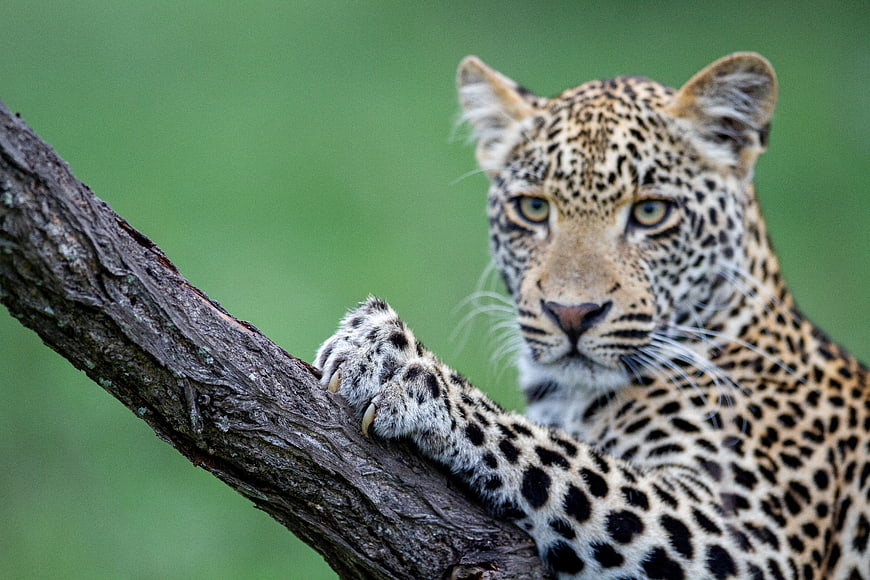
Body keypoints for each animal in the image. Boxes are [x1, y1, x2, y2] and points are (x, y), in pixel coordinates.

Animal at [315, 53, 869, 579]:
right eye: (533, 209)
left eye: (650, 213)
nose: (572, 313)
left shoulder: (748, 539)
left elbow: (558, 457)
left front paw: (399, 365)